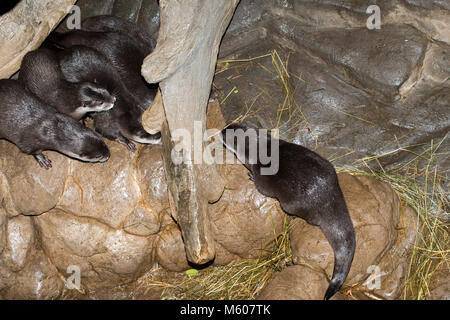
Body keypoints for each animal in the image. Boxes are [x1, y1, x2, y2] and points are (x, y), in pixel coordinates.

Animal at [221, 122, 356, 300]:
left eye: (226, 134)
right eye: (230, 125)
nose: (220, 131)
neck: (259, 148)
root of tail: (327, 197)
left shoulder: (261, 176)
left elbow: (262, 188)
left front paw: (251, 177)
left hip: (292, 204)